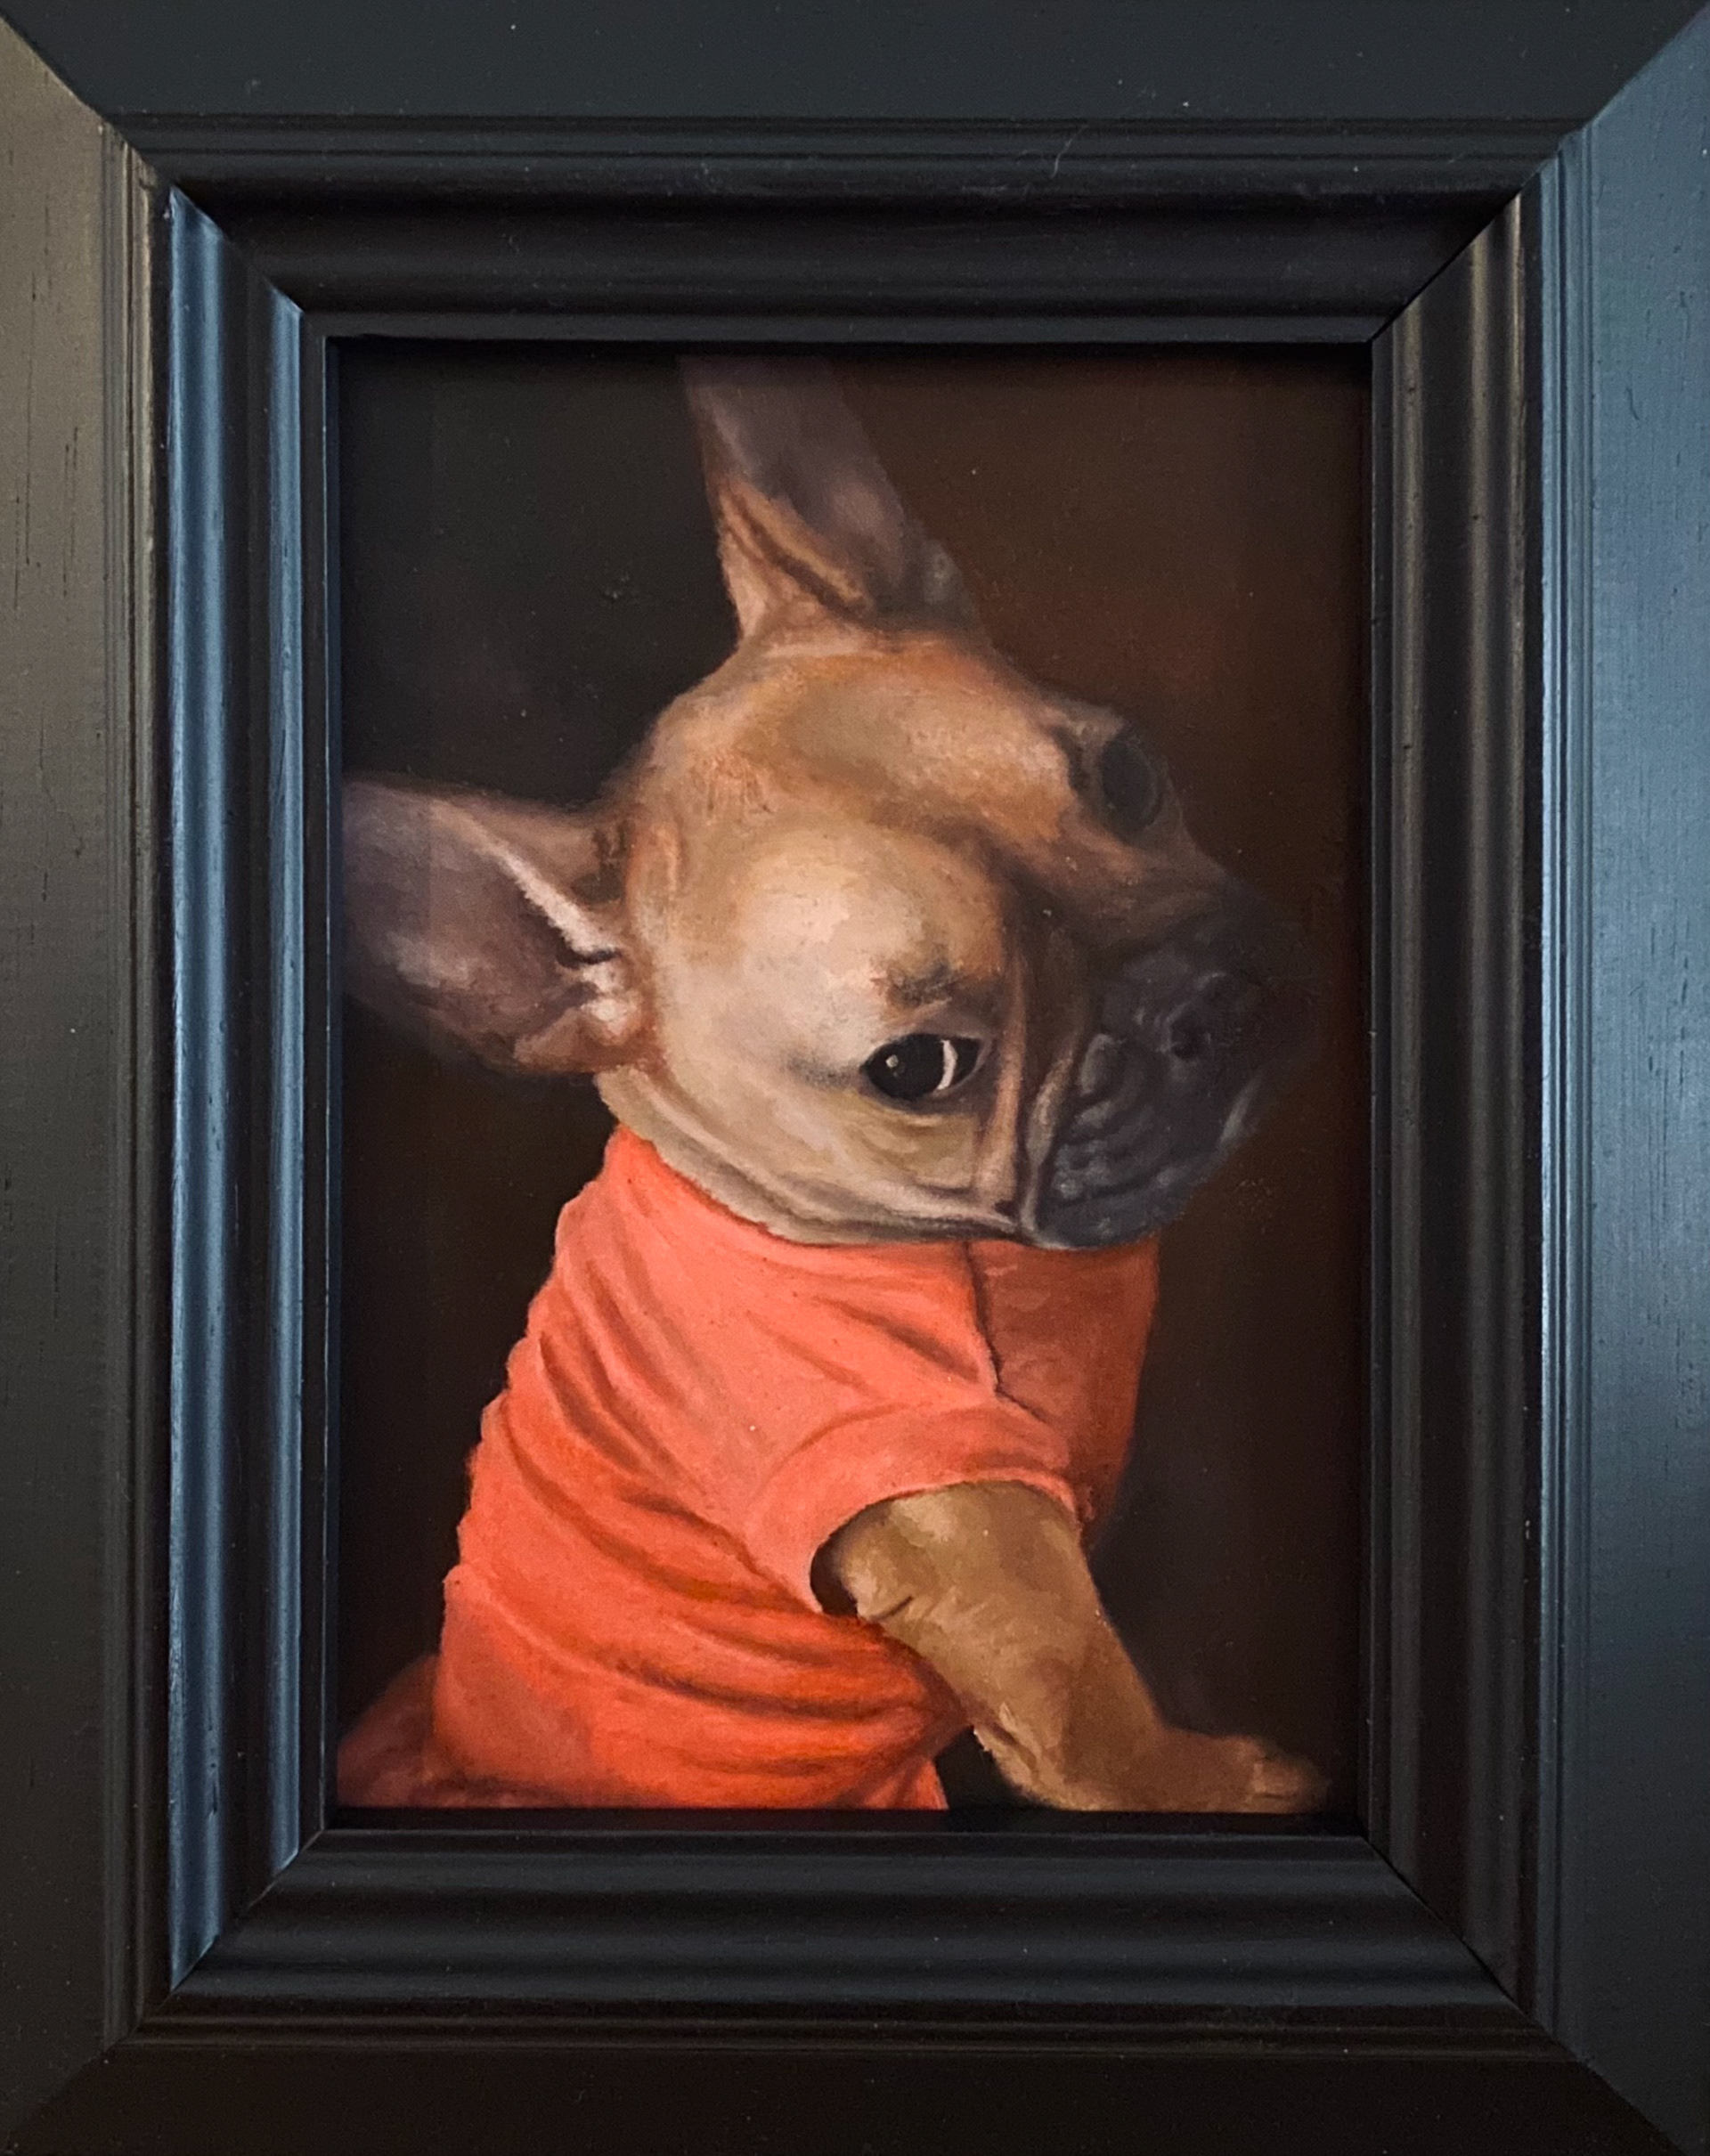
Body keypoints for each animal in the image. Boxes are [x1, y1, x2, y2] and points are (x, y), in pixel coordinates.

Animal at [336, 358, 1323, 1813]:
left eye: (1130, 775)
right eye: (919, 1069)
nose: (1193, 997)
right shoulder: (954, 1509)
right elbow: (1096, 1723)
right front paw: (1225, 1788)